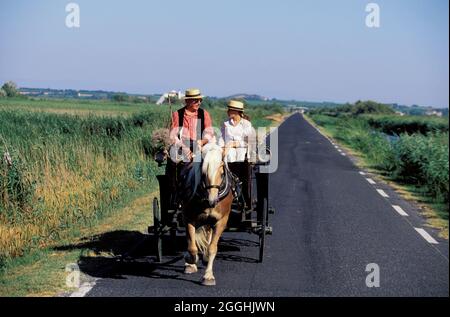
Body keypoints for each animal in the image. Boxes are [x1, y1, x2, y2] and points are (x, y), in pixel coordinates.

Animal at [179, 142, 232, 286]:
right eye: (203, 173)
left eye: (222, 172)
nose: (212, 201)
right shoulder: (188, 218)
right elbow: (192, 247)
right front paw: (190, 261)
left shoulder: (221, 221)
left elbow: (213, 248)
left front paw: (208, 276)